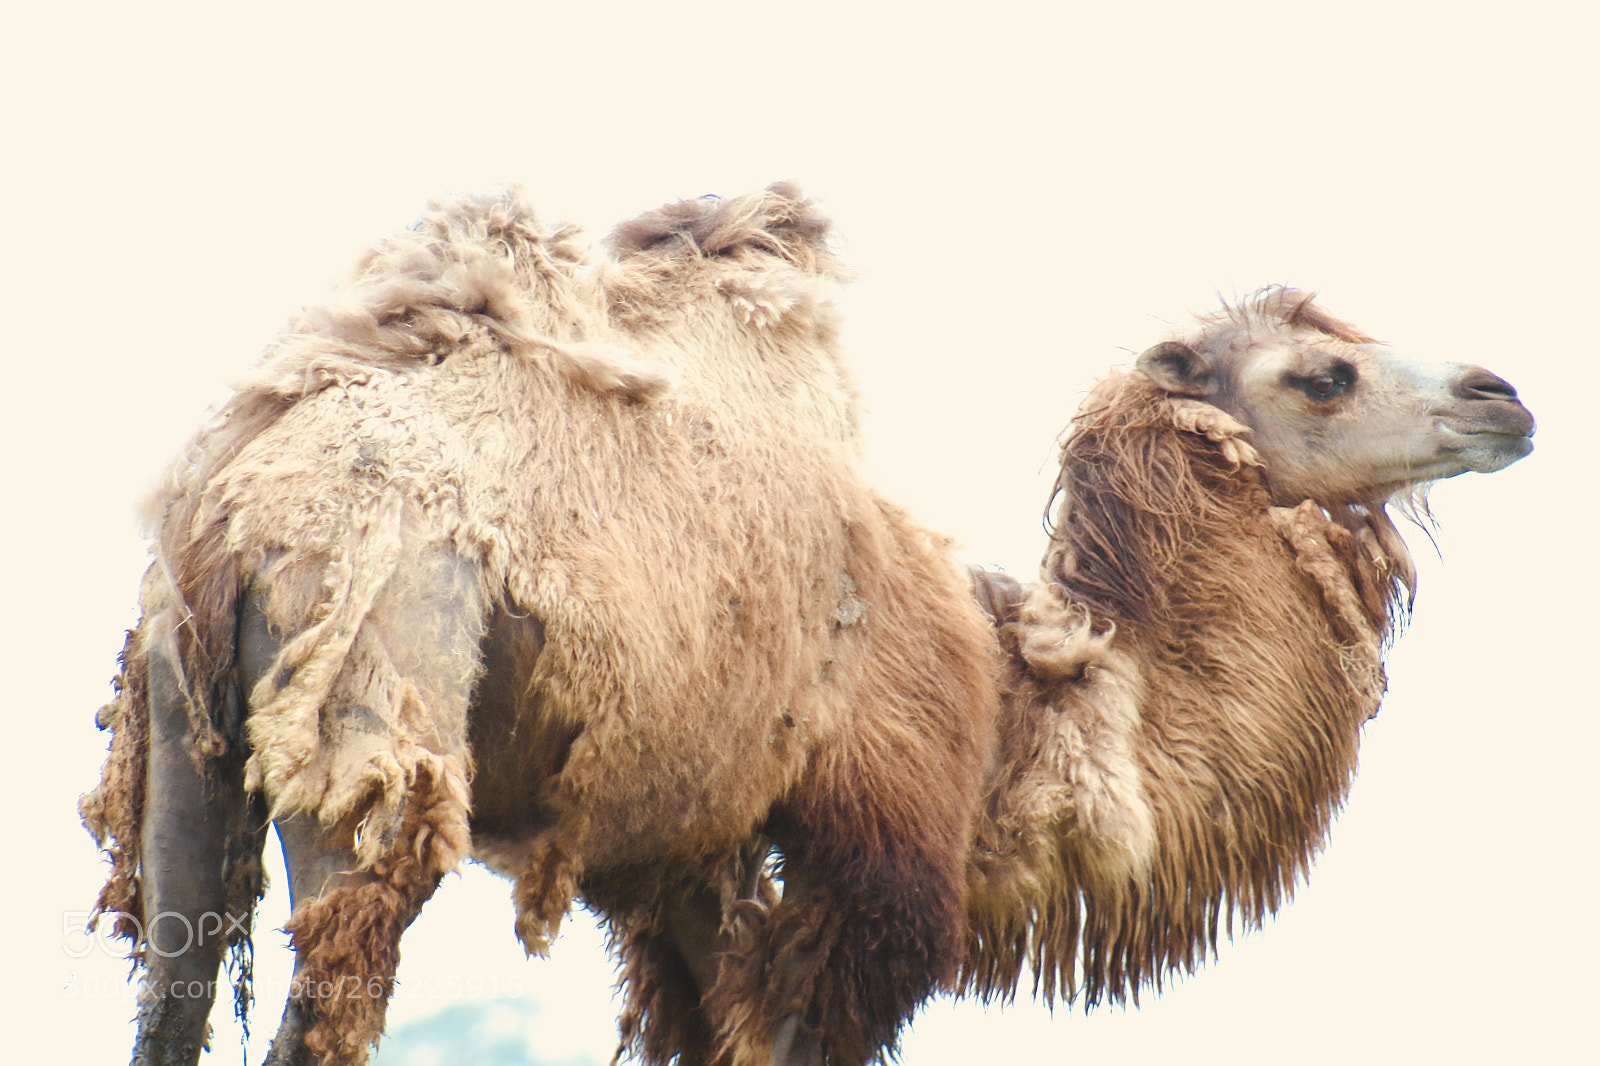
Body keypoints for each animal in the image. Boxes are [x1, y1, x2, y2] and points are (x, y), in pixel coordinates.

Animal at [80, 184, 1534, 1066]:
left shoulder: (681, 868)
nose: (1504, 395)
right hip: (384, 701)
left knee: (173, 981)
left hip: (186, 735)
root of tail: (234, 512)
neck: (1023, 697)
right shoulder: (876, 861)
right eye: (1324, 374)